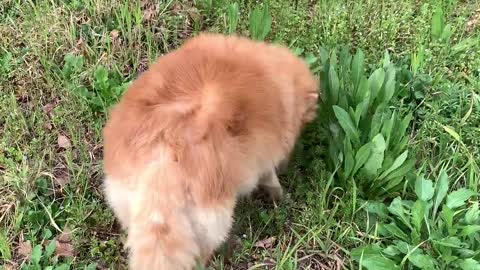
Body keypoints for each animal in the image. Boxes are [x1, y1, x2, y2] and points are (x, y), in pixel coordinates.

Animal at [101, 33, 318, 270]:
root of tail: (165, 147)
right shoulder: (264, 161)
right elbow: (271, 179)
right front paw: (281, 196)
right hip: (213, 221)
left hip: (126, 202)